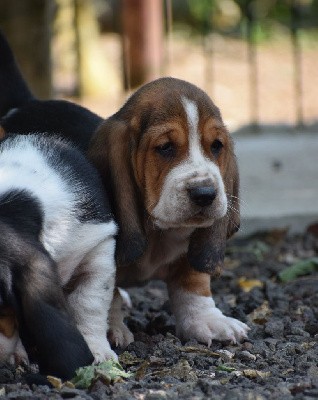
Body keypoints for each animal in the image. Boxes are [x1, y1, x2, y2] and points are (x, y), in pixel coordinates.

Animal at [90, 78, 250, 346]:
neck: (157, 232)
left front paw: (207, 320)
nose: (205, 193)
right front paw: (110, 328)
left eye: (217, 146)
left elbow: (194, 283)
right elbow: (105, 290)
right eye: (165, 147)